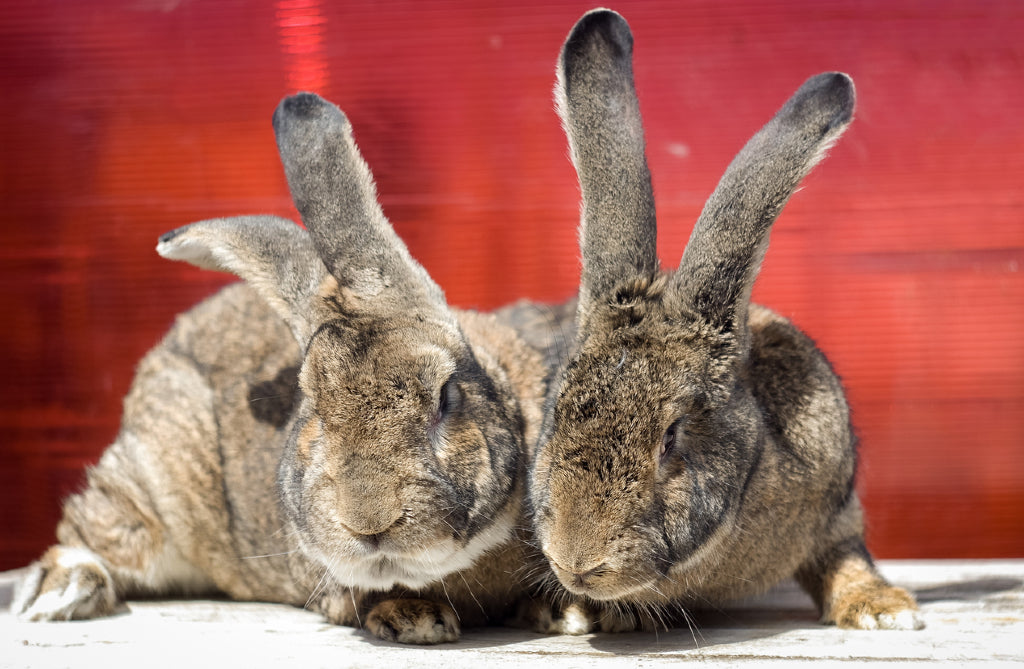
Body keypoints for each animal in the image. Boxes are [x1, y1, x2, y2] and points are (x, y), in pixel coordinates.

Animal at [9, 91, 569, 643]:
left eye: (447, 396)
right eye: (313, 408)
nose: (369, 522)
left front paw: (562, 615)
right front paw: (414, 618)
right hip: (148, 483)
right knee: (90, 530)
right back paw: (61, 594)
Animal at [528, 7, 929, 635]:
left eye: (672, 436)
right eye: (555, 413)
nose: (577, 564)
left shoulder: (837, 510)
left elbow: (846, 558)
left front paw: (884, 612)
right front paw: (575, 613)